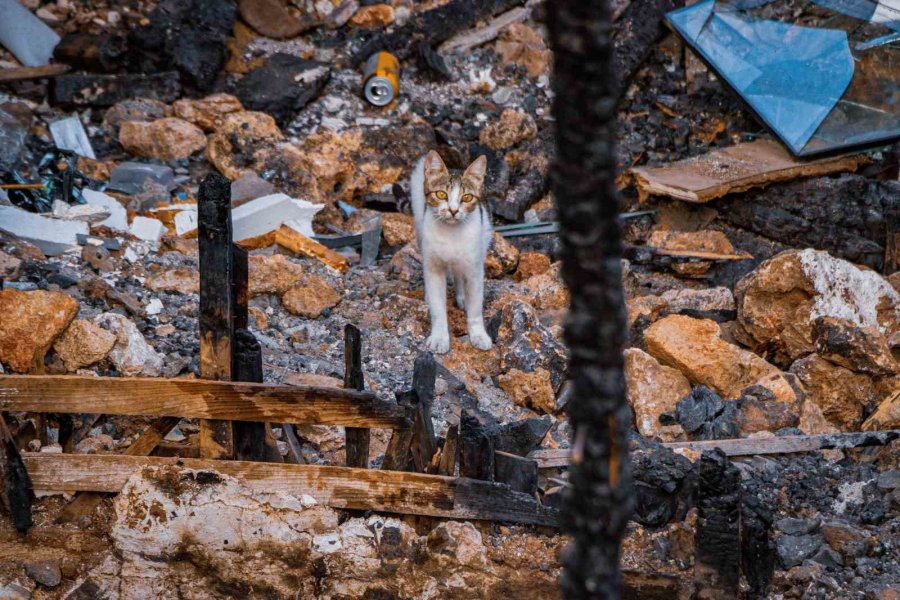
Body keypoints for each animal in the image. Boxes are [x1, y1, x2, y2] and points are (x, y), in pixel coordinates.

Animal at [410, 150, 492, 354]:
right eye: (441, 194)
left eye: (467, 198)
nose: (453, 210)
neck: (451, 234)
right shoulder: (434, 268)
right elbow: (438, 309)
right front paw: (439, 338)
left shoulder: (475, 270)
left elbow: (476, 308)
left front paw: (478, 335)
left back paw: (462, 296)